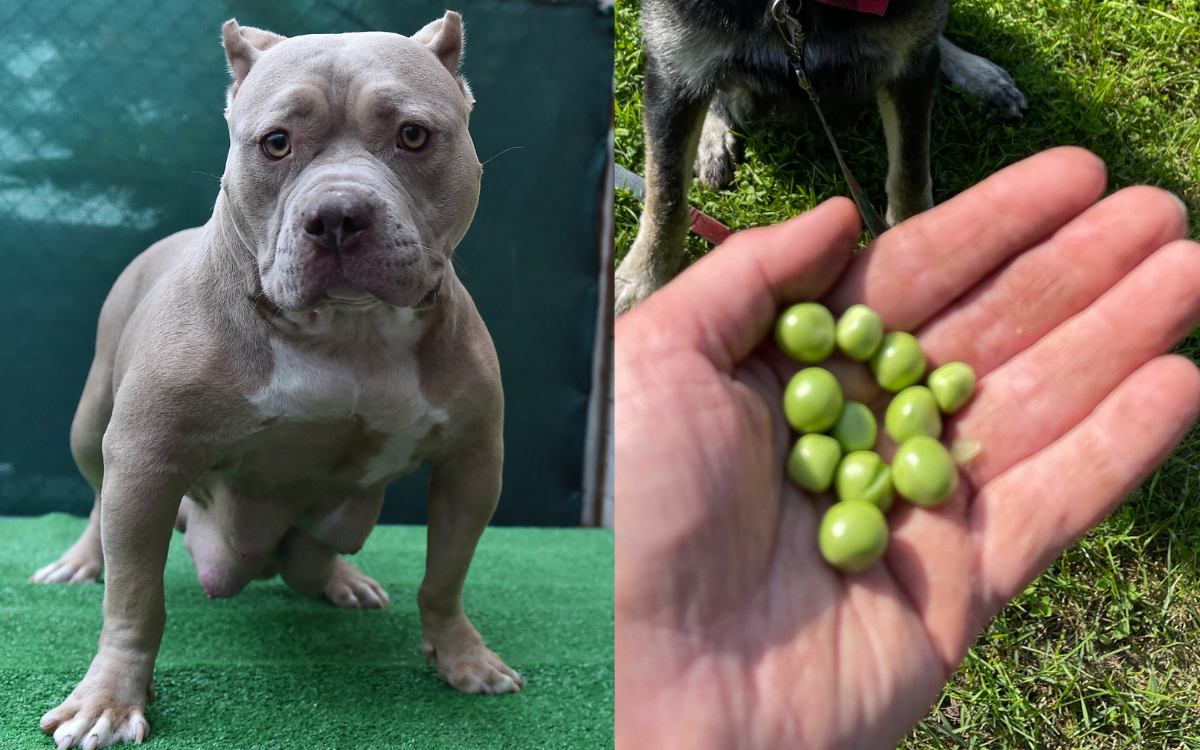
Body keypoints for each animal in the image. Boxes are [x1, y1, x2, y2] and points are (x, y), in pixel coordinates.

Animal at [29, 11, 520, 748]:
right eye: (277, 143)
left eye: (413, 135)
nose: (338, 214)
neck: (346, 333)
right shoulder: (145, 460)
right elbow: (135, 599)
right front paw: (109, 698)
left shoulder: (472, 463)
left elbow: (445, 577)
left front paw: (462, 657)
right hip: (91, 426)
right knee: (95, 503)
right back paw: (83, 561)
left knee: (318, 558)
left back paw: (344, 579)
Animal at [619, 0, 1032, 312]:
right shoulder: (673, 68)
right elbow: (665, 194)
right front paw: (642, 281)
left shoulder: (909, 68)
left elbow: (910, 171)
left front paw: (913, 234)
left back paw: (983, 77)